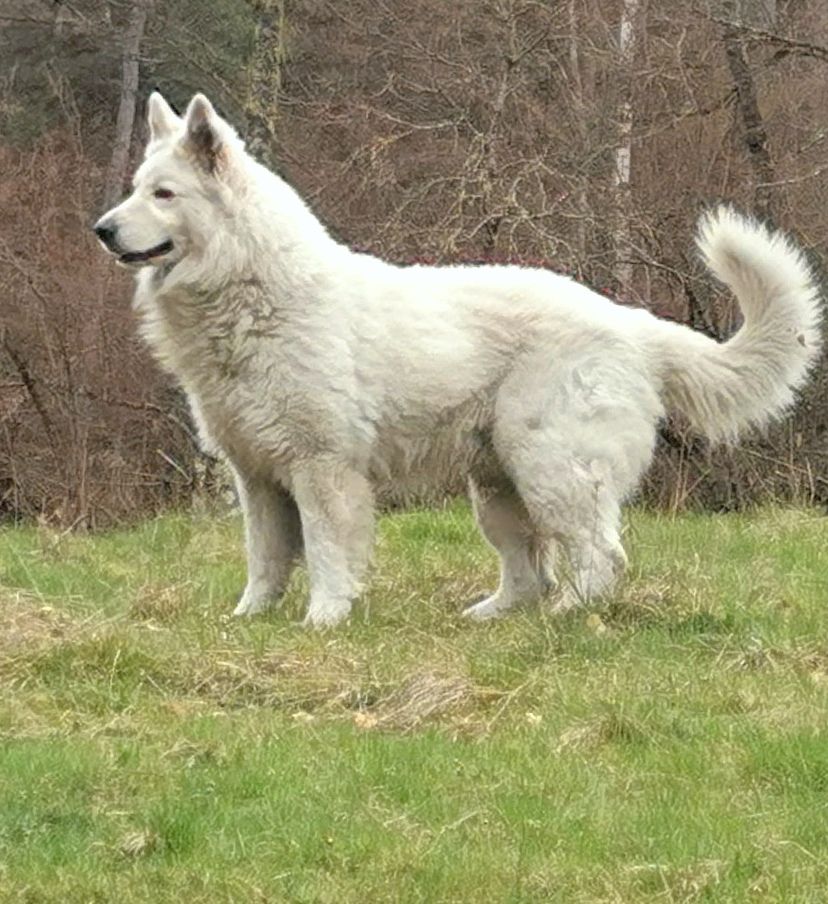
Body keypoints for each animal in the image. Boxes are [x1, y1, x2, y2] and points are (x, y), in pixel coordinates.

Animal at [94, 93, 820, 628]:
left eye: (163, 194)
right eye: (136, 189)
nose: (102, 229)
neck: (254, 289)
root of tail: (630, 324)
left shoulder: (323, 469)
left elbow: (327, 553)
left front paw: (323, 620)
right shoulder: (259, 478)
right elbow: (266, 559)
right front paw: (248, 620)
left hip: (550, 469)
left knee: (598, 556)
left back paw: (567, 617)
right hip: (497, 491)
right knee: (528, 570)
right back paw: (491, 617)